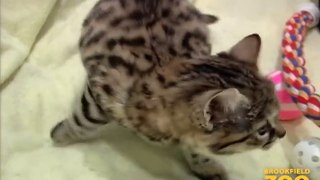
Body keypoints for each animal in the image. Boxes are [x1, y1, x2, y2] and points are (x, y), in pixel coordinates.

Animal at [51, 0, 286, 179]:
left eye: (278, 114)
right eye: (262, 131)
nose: (283, 133)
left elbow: (195, 149)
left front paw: (204, 164)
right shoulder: (99, 90)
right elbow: (82, 120)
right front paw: (61, 135)